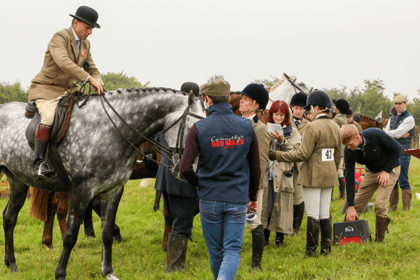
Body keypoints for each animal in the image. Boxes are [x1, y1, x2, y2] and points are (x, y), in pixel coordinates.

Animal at [0, 86, 204, 278]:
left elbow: (106, 232)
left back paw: (12, 263)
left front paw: (107, 271)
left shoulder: (113, 190)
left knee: (10, 217)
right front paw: (60, 273)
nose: (191, 172)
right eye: (192, 128)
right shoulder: (82, 191)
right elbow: (70, 235)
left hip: (18, 182)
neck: (111, 130)